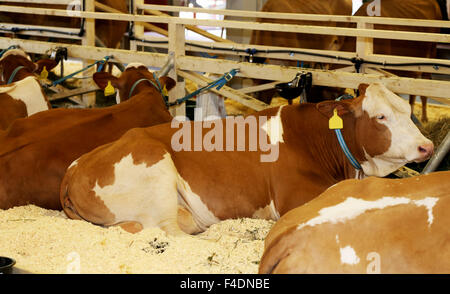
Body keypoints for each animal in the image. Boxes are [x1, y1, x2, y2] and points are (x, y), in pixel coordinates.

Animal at [59, 81, 432, 235]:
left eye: (408, 109)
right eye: (381, 116)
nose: (427, 147)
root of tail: (76, 167)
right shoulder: (295, 197)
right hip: (155, 171)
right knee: (168, 233)